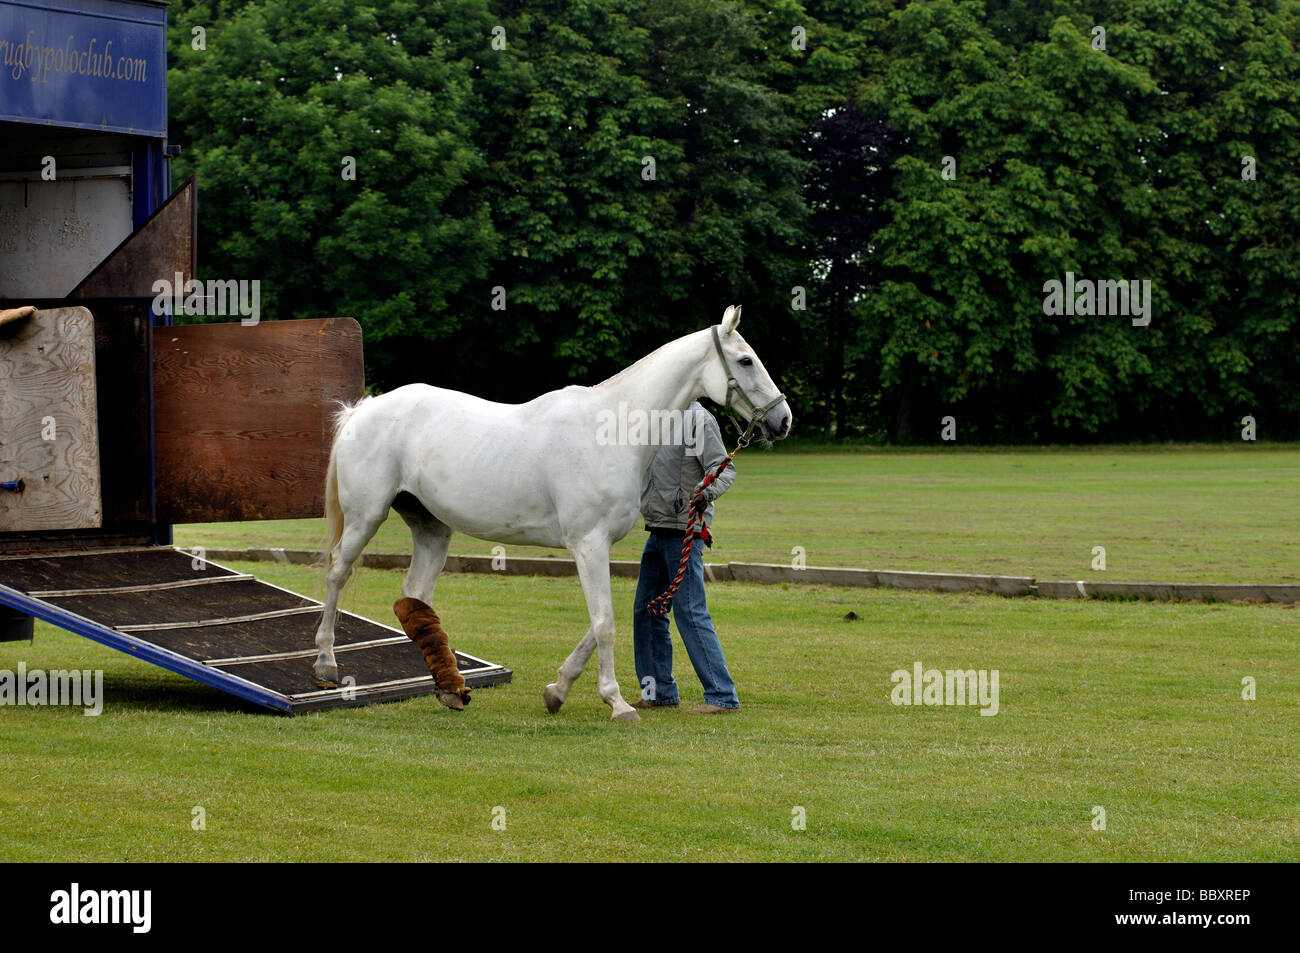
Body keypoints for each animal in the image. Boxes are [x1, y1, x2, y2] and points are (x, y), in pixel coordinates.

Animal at [312, 304, 790, 722]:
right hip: (366, 518)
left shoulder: (596, 549)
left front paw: (557, 691)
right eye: (745, 360)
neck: (612, 429)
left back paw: (451, 689)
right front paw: (617, 703)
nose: (783, 419)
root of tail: (362, 409)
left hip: (432, 528)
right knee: (337, 575)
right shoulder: (588, 545)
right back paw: (326, 663)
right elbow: (605, 624)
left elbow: (601, 621)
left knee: (415, 598)